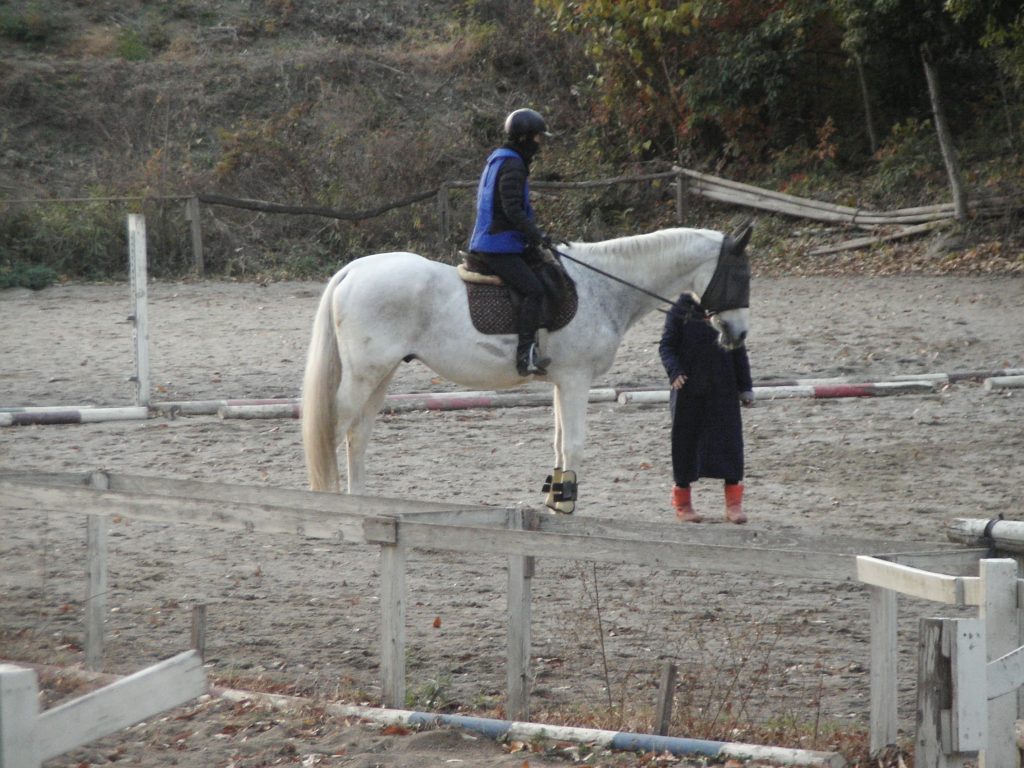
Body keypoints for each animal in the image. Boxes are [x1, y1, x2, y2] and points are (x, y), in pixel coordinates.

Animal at [302, 223, 752, 512]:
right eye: (739, 275)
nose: (737, 334)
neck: (603, 288)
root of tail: (354, 269)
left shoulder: (560, 381)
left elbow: (557, 441)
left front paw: (556, 496)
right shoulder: (575, 379)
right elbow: (574, 443)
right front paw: (567, 505)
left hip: (381, 374)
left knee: (357, 434)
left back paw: (360, 502)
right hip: (365, 375)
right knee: (336, 429)